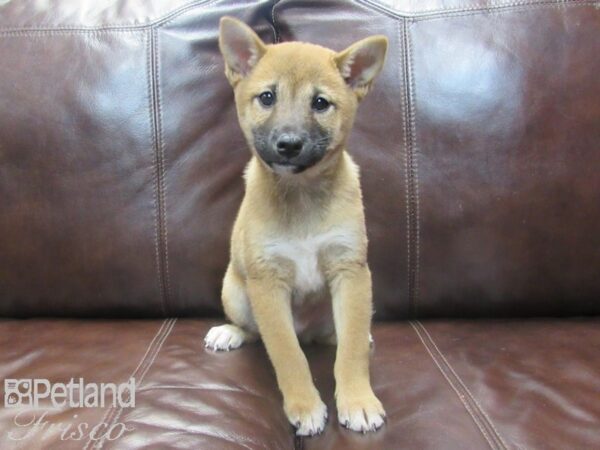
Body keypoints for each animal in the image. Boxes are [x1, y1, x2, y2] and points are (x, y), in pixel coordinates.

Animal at [204, 17, 386, 436]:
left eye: (320, 103)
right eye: (267, 97)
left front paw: (357, 401)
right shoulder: (268, 283)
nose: (288, 144)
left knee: (339, 338)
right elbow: (288, 354)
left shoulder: (351, 273)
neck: (301, 196)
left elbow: (351, 351)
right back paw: (229, 332)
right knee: (256, 331)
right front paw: (304, 405)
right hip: (236, 291)